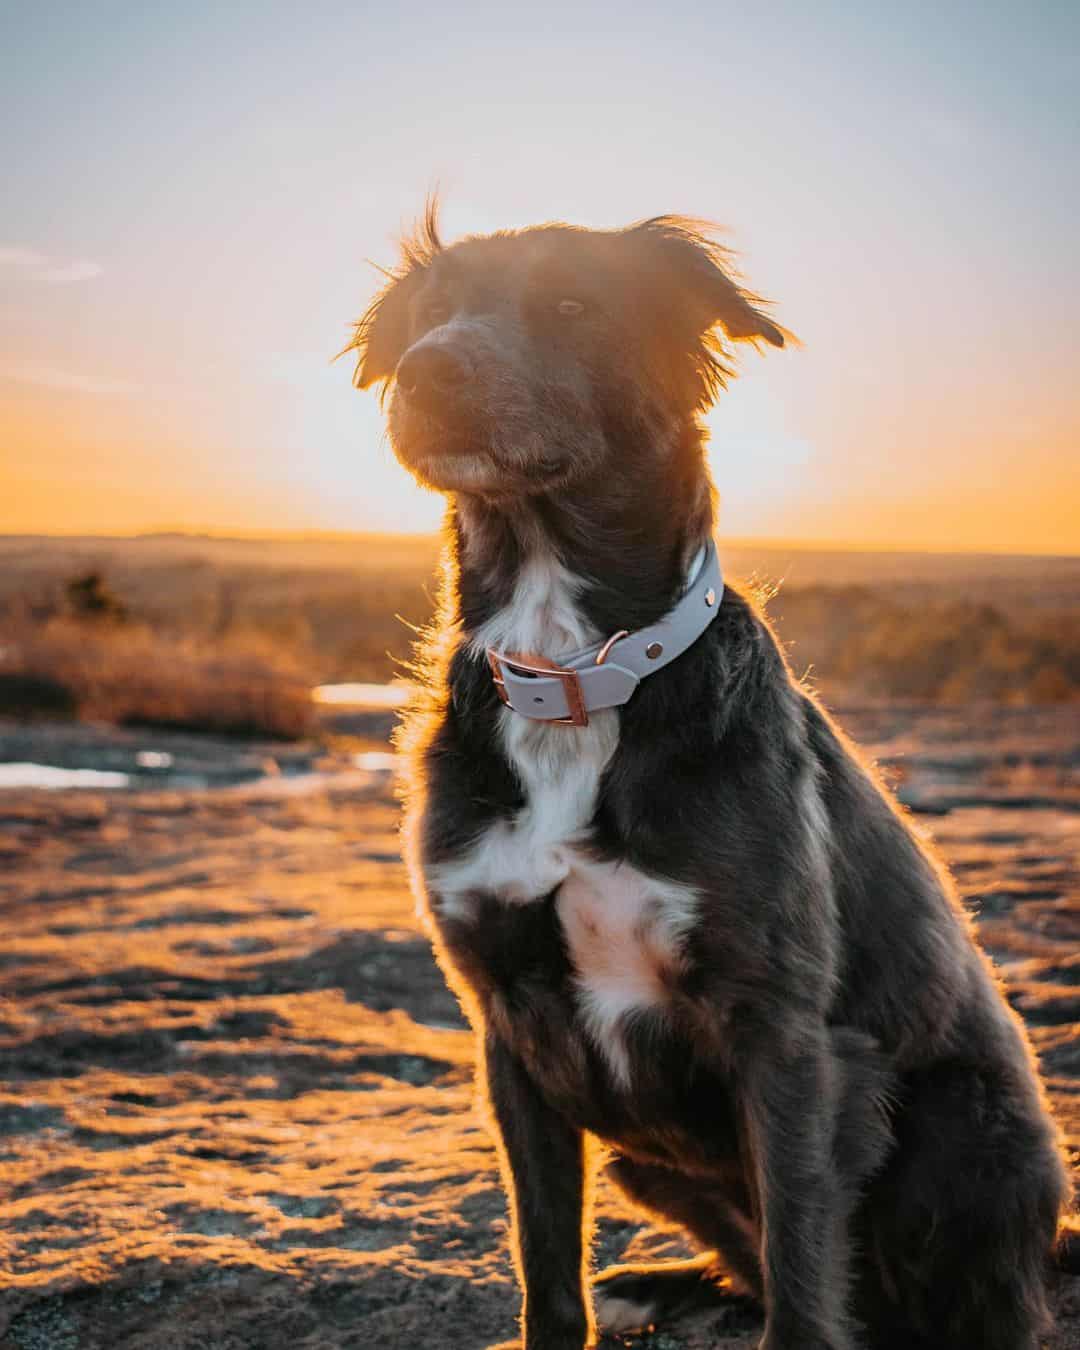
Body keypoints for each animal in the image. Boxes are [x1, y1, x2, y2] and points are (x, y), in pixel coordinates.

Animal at [348, 207, 1069, 1350]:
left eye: (571, 302)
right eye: (429, 312)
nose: (425, 372)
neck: (579, 675)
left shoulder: (784, 1035)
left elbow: (806, 1271)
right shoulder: (509, 1026)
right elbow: (546, 1266)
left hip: (967, 1133)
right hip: (642, 1160)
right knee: (749, 1267)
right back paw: (664, 1285)